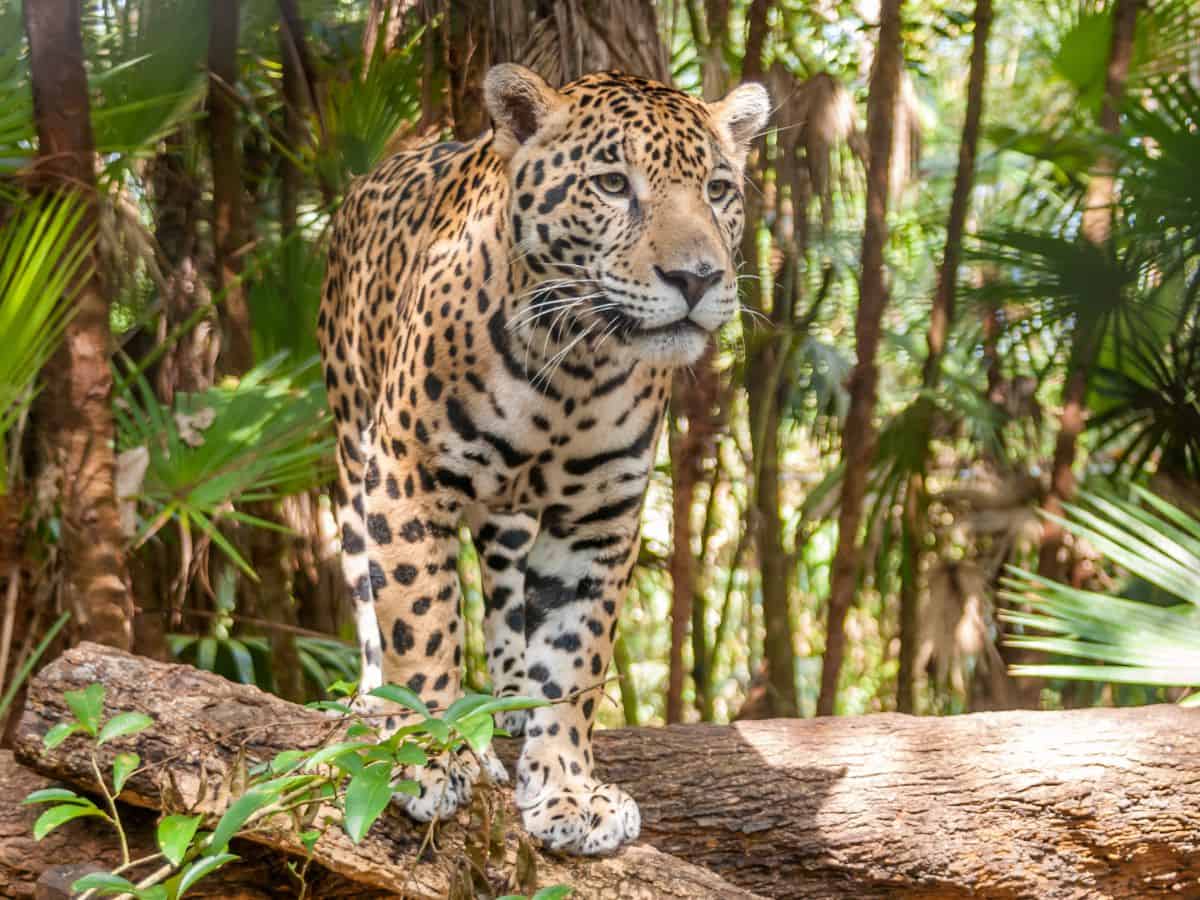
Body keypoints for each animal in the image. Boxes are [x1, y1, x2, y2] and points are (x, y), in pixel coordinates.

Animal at [317, 63, 768, 856]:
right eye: (613, 184)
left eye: (717, 189)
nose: (698, 279)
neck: (574, 367)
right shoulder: (406, 476)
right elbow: (420, 620)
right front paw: (427, 756)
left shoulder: (599, 518)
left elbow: (573, 653)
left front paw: (567, 787)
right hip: (352, 452)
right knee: (370, 595)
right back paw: (376, 704)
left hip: (508, 514)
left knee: (503, 590)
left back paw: (507, 701)